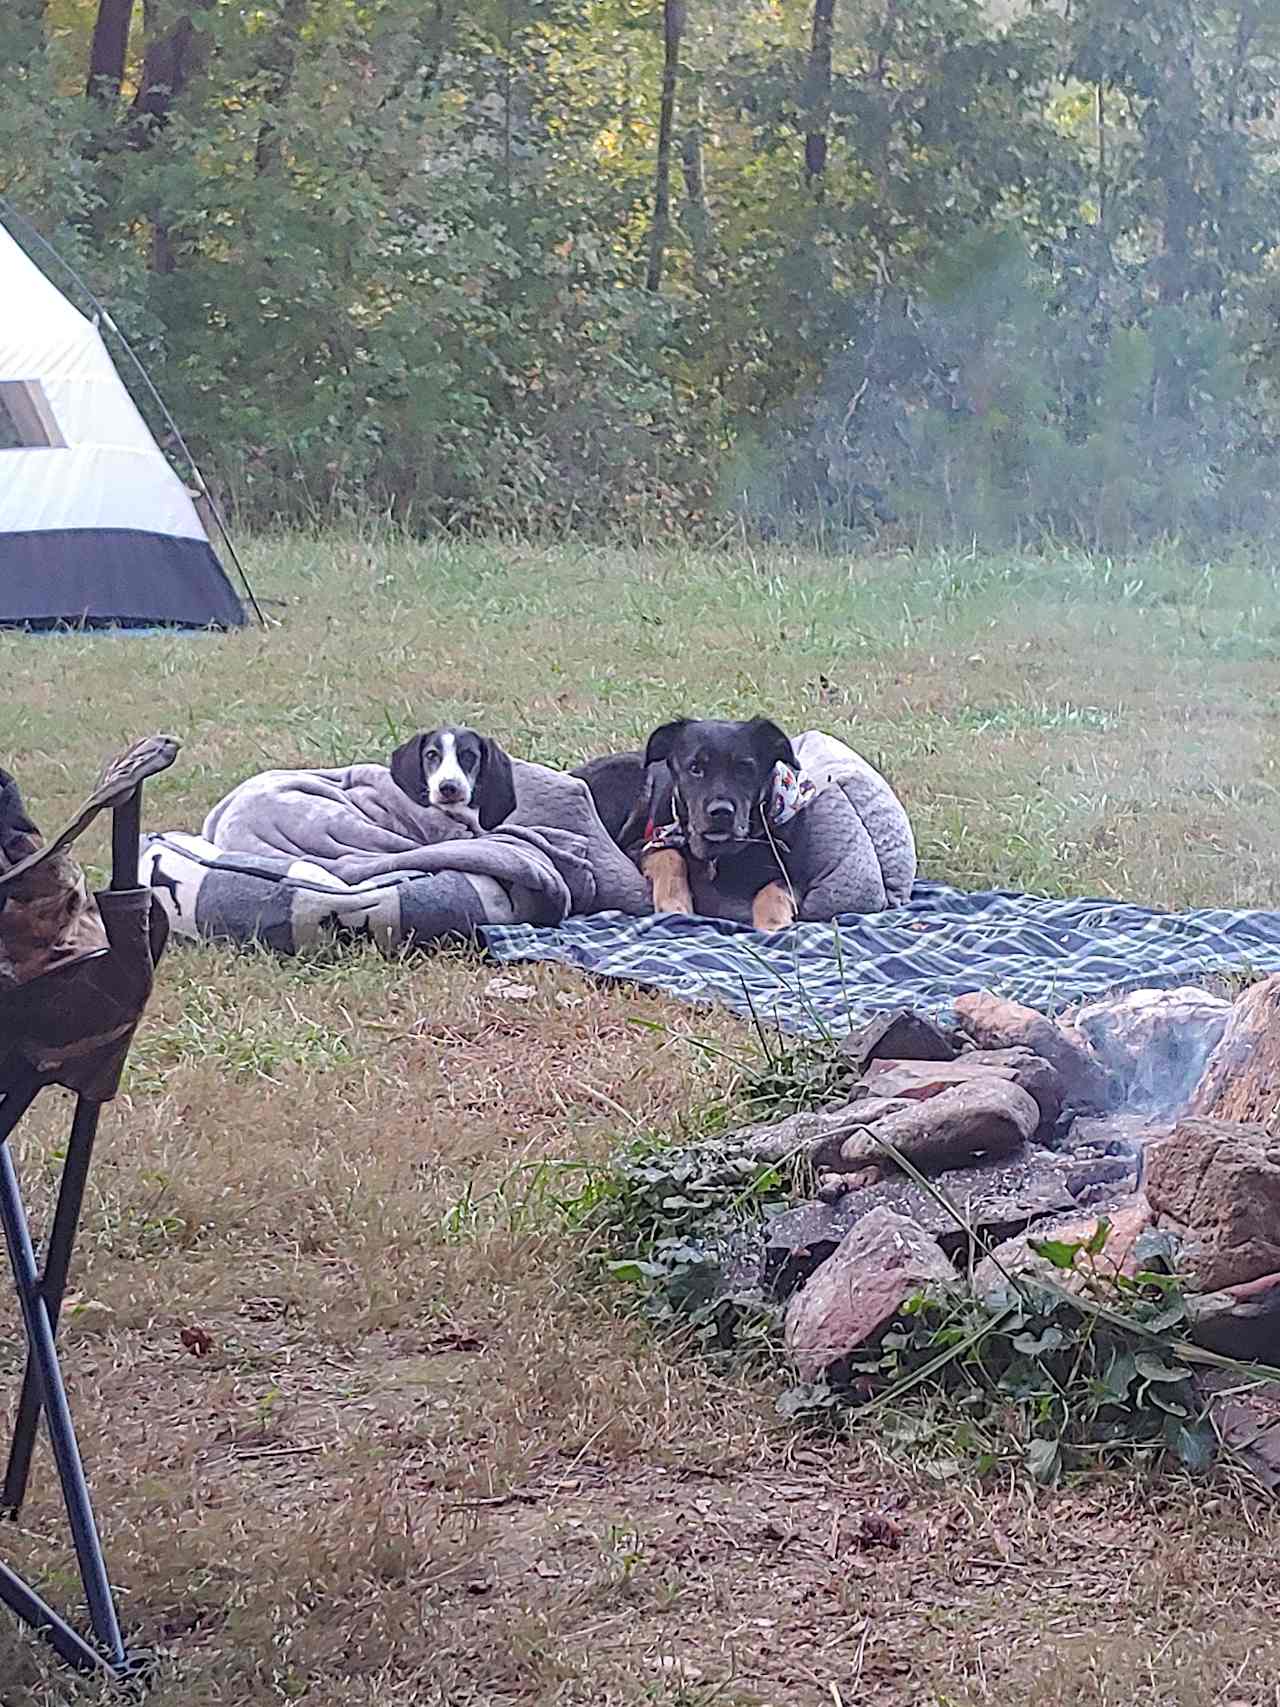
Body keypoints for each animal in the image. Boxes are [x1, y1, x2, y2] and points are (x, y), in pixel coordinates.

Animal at [580, 720, 812, 935]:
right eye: (695, 769)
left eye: (745, 769)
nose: (721, 812)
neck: (716, 853)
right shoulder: (644, 845)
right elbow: (671, 856)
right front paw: (675, 904)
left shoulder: (795, 876)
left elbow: (773, 889)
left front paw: (772, 925)